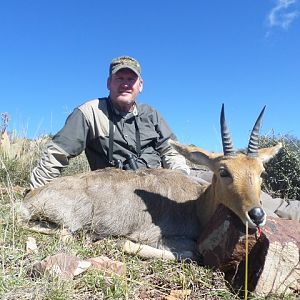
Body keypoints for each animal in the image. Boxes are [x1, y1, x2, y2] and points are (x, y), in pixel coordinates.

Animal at [19, 105, 282, 260]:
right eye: (224, 171)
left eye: (261, 172)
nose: (257, 215)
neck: (195, 203)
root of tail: (30, 197)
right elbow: (189, 253)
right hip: (64, 224)